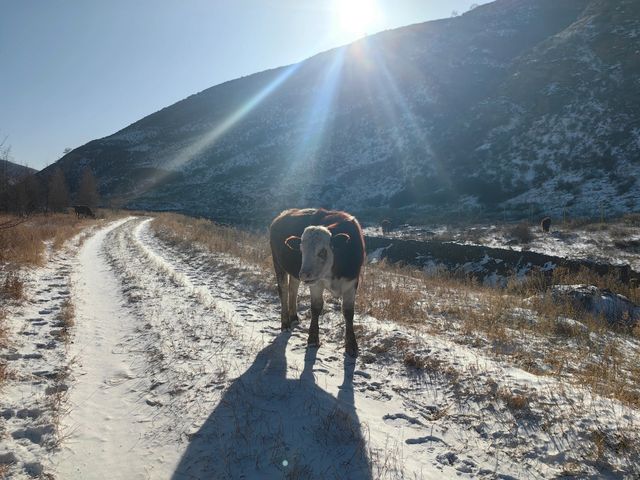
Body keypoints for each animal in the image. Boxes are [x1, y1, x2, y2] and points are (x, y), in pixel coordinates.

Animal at [268, 207, 364, 356]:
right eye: (301, 249)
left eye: (323, 251)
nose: (304, 274)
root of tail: (284, 213)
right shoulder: (316, 283)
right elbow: (316, 307)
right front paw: (313, 338)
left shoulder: (352, 282)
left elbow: (348, 312)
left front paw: (351, 345)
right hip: (278, 263)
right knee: (283, 291)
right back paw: (285, 323)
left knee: (293, 289)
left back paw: (294, 317)